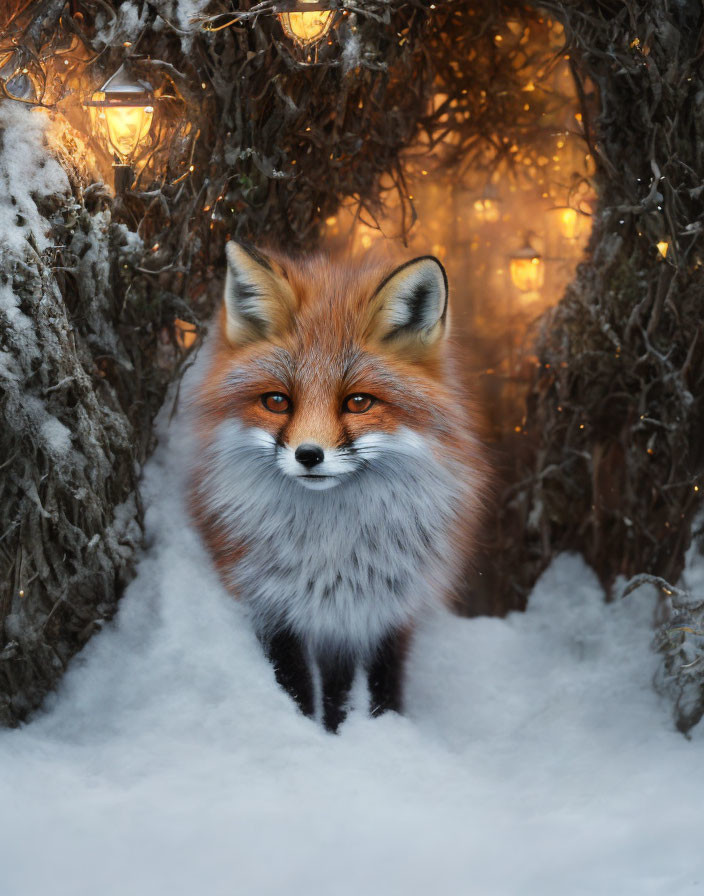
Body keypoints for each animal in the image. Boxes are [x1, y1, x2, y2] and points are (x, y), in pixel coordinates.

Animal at [190, 242, 486, 732]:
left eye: (358, 402)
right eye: (277, 401)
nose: (309, 455)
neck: (332, 550)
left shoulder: (384, 614)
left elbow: (376, 691)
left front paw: (375, 733)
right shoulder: (272, 609)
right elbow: (298, 691)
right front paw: (314, 736)